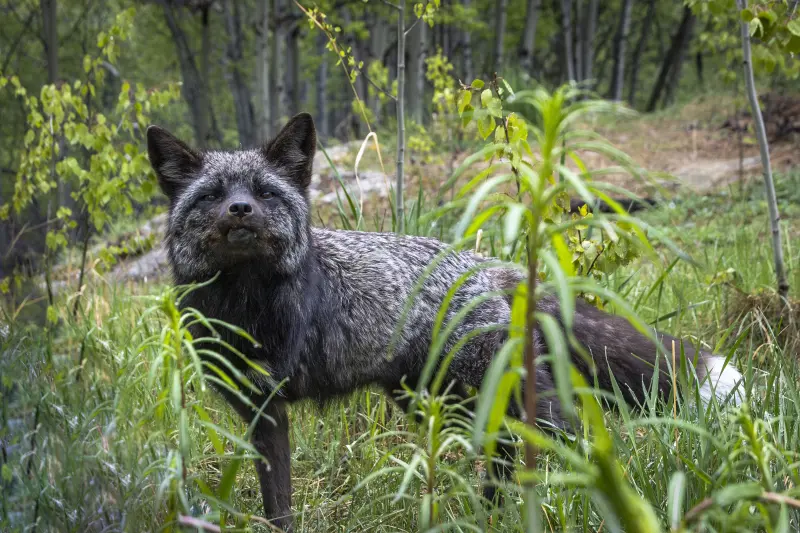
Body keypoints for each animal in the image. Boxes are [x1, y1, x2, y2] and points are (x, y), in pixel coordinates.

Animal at [147, 111, 740, 528]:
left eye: (265, 192)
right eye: (213, 195)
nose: (240, 211)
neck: (245, 304)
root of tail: (490, 266)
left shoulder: (269, 394)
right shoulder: (260, 411)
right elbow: (279, 504)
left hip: (485, 394)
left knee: (562, 435)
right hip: (437, 399)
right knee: (506, 454)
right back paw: (492, 516)